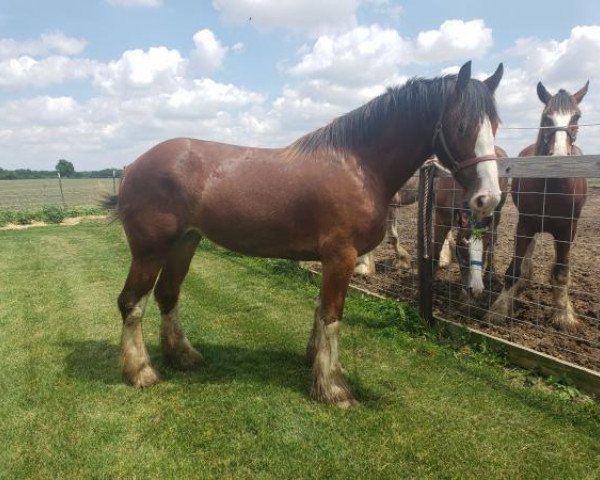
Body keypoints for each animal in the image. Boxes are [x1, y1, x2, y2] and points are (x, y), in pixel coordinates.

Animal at [105, 59, 504, 404]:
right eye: (461, 126)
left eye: (496, 125)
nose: (489, 198)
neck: (357, 166)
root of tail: (133, 165)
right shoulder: (341, 257)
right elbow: (331, 316)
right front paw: (332, 387)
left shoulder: (330, 260)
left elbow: (320, 311)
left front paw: (316, 362)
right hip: (150, 250)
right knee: (131, 303)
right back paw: (140, 371)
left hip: (184, 243)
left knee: (167, 295)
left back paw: (183, 356)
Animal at [486, 80, 588, 332]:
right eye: (546, 117)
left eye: (577, 116)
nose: (558, 158)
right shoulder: (525, 224)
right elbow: (513, 270)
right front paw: (499, 309)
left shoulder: (567, 231)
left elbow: (561, 274)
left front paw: (564, 315)